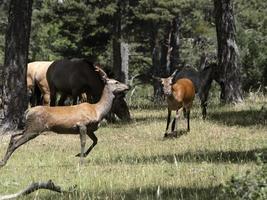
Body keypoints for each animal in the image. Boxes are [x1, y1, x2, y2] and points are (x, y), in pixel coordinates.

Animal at [0, 67, 130, 167]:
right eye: (116, 82)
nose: (127, 87)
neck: (97, 110)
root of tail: (28, 111)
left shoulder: (90, 129)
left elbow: (96, 140)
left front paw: (80, 155)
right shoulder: (82, 124)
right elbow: (83, 142)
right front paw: (81, 160)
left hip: (29, 127)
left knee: (13, 136)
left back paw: (3, 161)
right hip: (35, 128)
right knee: (16, 142)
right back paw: (4, 162)